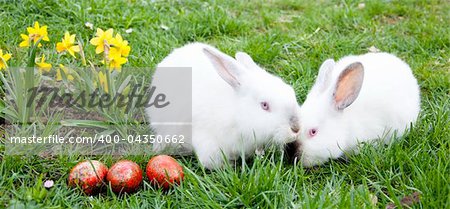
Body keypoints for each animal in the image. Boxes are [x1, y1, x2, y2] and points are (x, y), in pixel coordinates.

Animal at [148, 42, 300, 170]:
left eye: (290, 91)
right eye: (264, 105)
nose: (296, 129)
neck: (236, 116)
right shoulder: (208, 143)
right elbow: (210, 162)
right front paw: (230, 166)